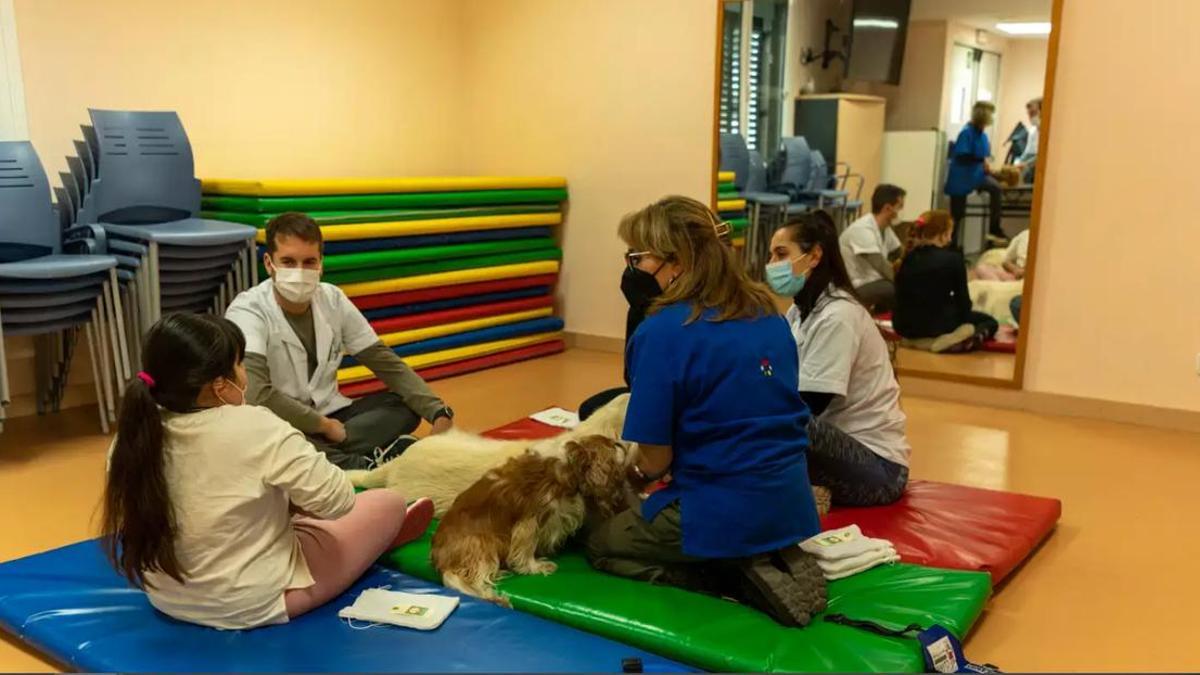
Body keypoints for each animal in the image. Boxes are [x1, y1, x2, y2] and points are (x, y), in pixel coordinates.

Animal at [432, 432, 638, 600]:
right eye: (614, 445)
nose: (625, 442)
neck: (569, 463)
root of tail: (441, 561)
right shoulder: (530, 519)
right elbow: (526, 548)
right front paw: (535, 567)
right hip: (482, 543)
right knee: (472, 578)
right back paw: (495, 597)